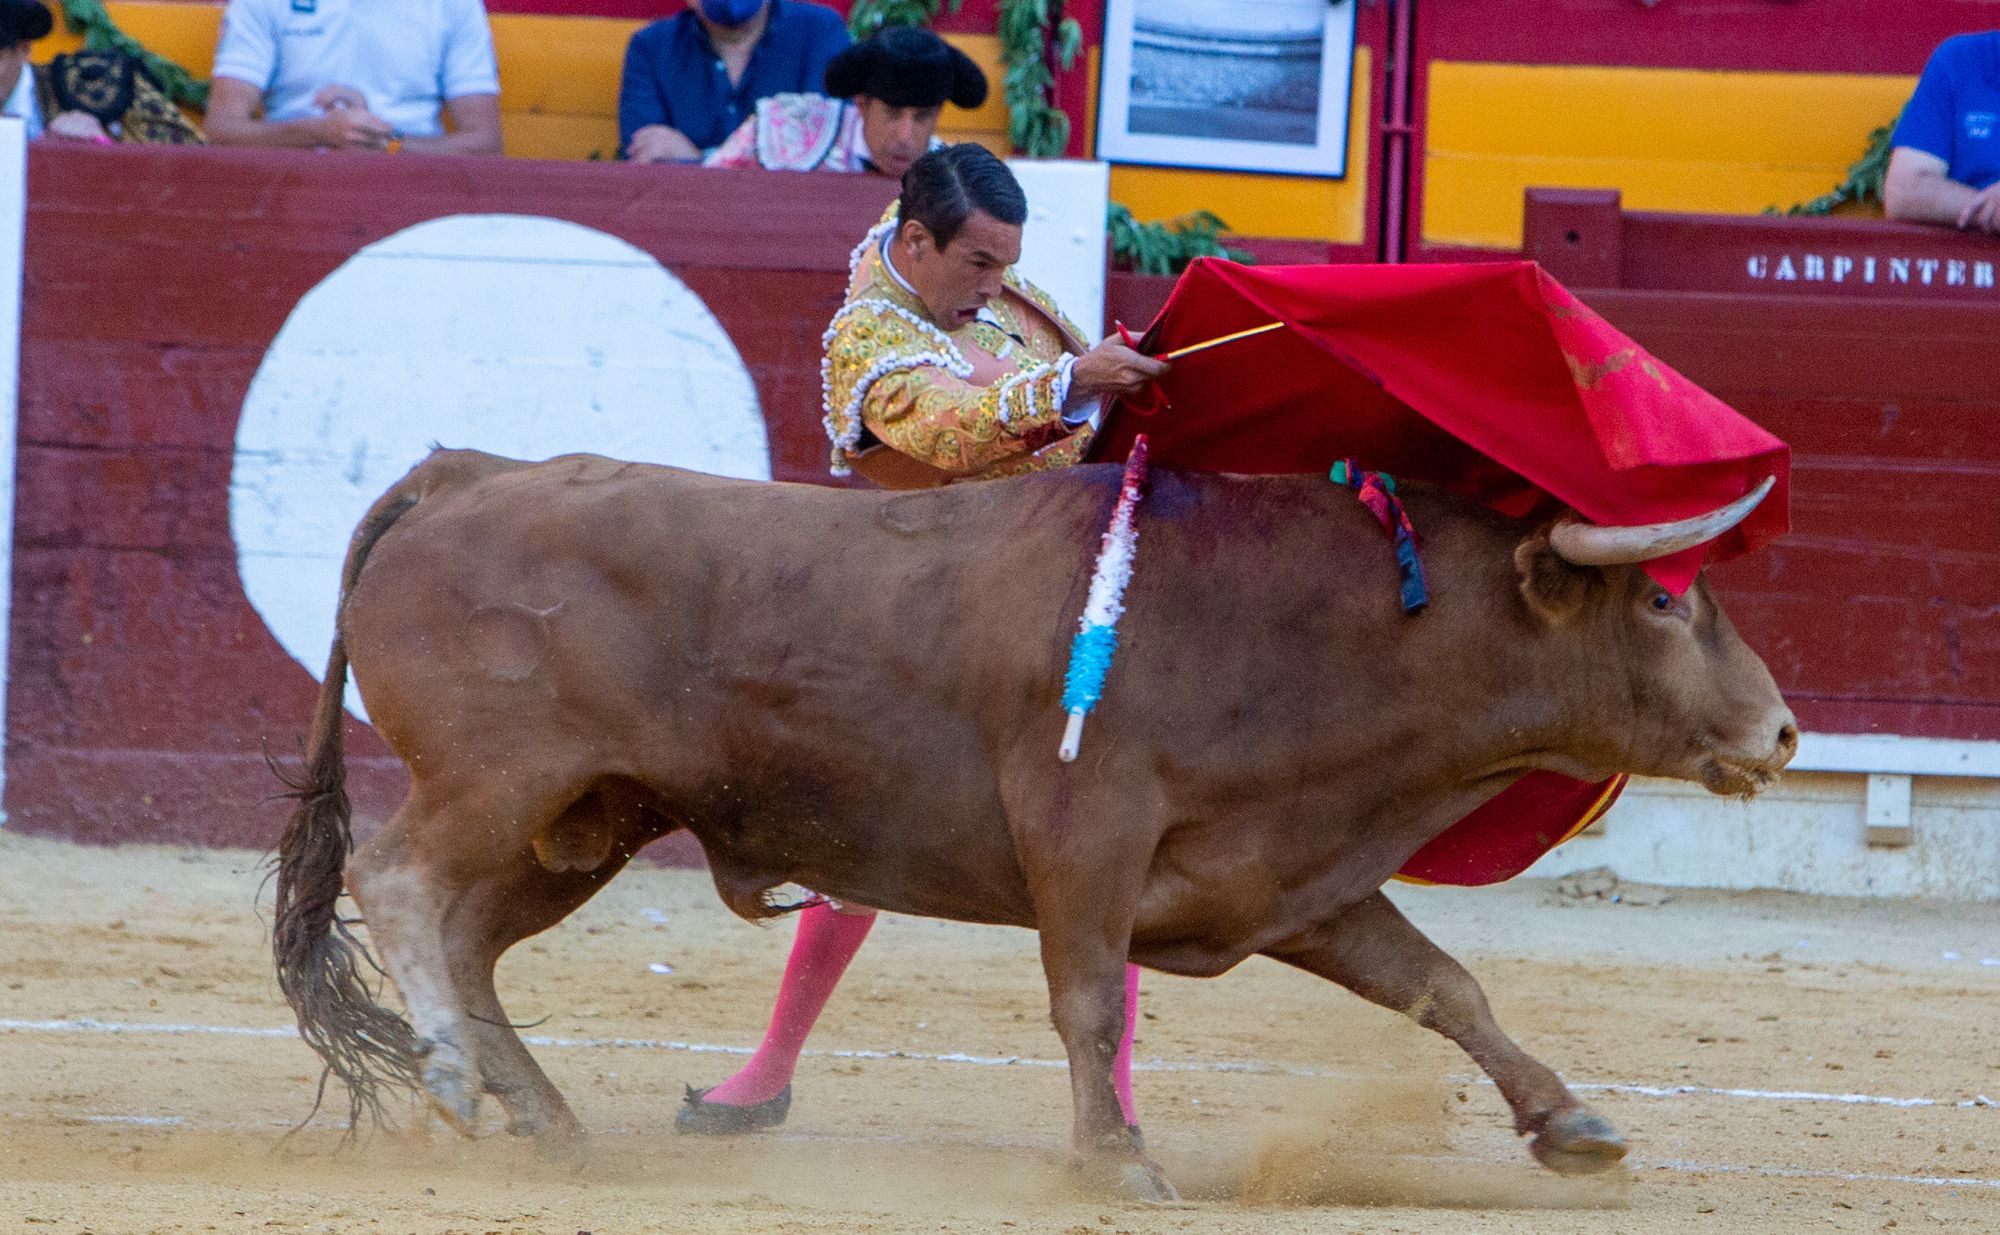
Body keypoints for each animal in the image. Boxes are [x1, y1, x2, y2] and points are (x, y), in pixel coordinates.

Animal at [270, 447, 1800, 1199]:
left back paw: (547, 1121)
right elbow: (1085, 997)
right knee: (402, 879)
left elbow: (1444, 983)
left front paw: (1571, 1124)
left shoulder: (1292, 880)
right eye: (1664, 596)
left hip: (583, 819)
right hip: (501, 780)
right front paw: (1116, 1158)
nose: (1782, 732)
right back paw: (457, 1080)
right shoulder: (1084, 830)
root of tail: (464, 475)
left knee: (471, 940)